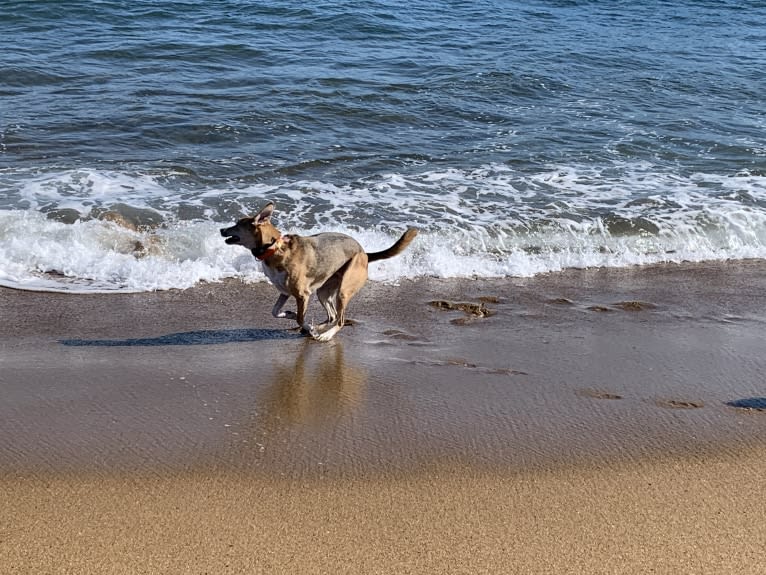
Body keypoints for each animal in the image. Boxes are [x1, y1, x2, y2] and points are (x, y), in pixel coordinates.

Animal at [220, 202, 420, 342]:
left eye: (237, 224)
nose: (221, 229)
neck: (273, 248)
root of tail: (364, 253)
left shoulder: (302, 295)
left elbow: (300, 318)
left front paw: (306, 326)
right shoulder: (284, 292)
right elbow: (275, 312)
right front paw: (291, 315)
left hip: (343, 290)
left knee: (340, 319)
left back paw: (325, 335)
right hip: (324, 290)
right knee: (332, 316)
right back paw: (320, 328)